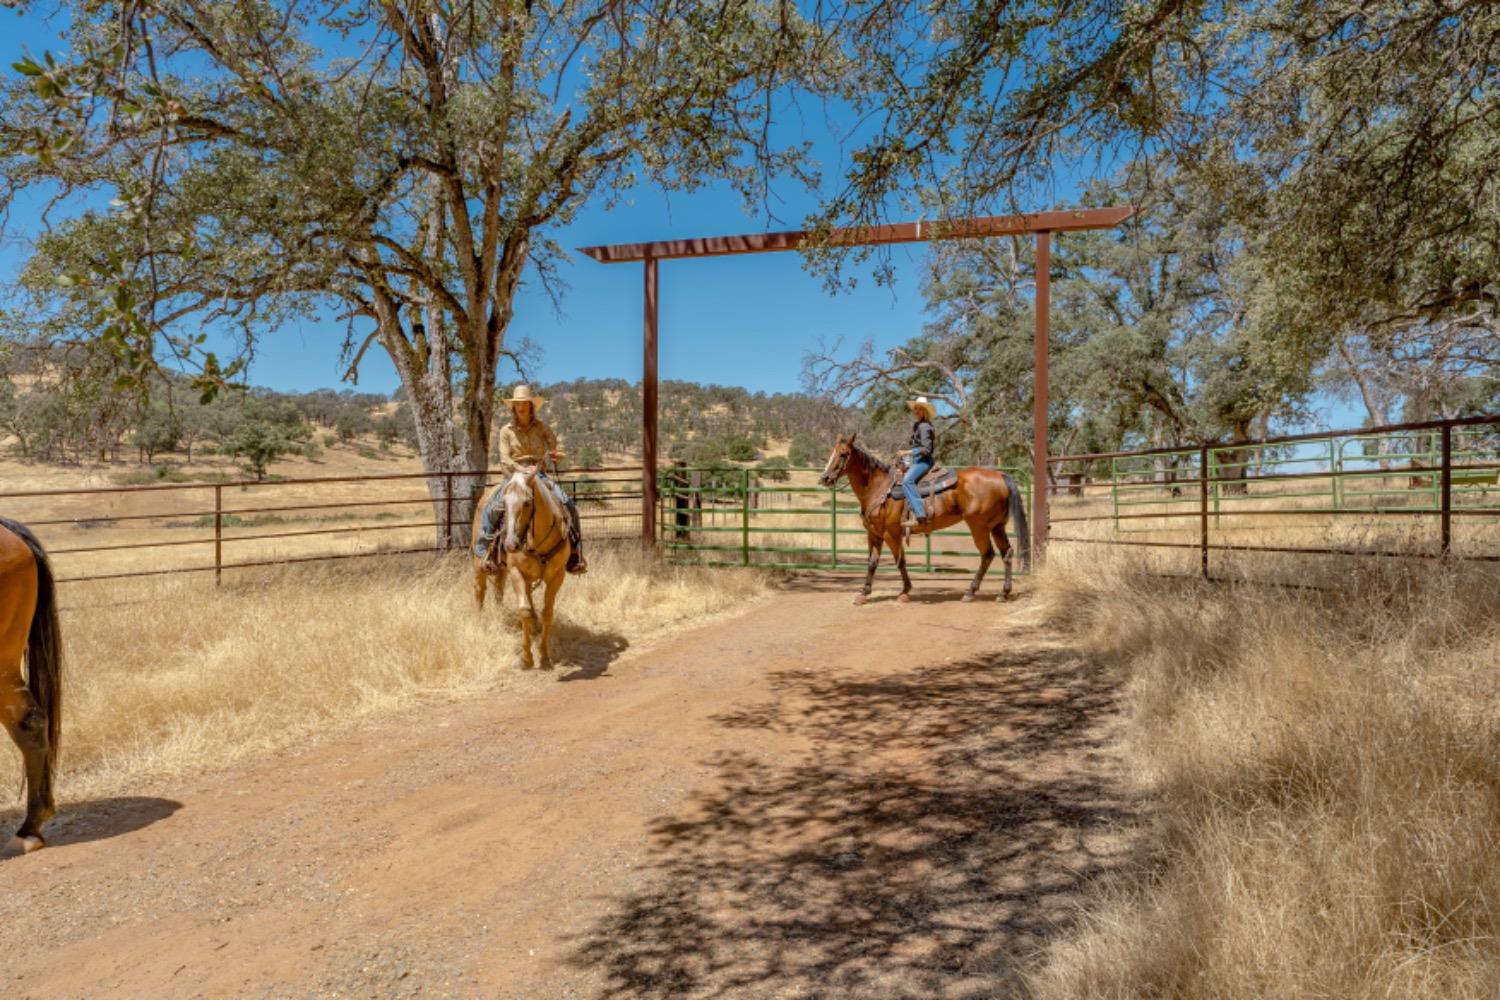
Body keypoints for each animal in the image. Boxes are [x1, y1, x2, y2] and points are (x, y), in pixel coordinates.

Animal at [468, 470, 567, 671]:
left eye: (528, 502)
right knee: (480, 590)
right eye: (504, 504)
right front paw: (527, 659)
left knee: (501, 591)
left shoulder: (557, 576)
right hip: (478, 561)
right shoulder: (516, 572)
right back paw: (480, 621)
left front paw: (545, 656)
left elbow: (547, 613)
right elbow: (524, 611)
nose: (510, 544)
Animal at [822, 434, 1032, 605]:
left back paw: (970, 592)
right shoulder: (874, 534)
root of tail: (1000, 475)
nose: (825, 478)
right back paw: (1003, 593)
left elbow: (900, 561)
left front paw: (905, 592)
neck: (879, 488)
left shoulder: (891, 533)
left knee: (987, 554)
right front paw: (864, 593)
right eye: (831, 452)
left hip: (978, 526)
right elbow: (872, 562)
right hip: (997, 526)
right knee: (1006, 553)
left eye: (843, 454)